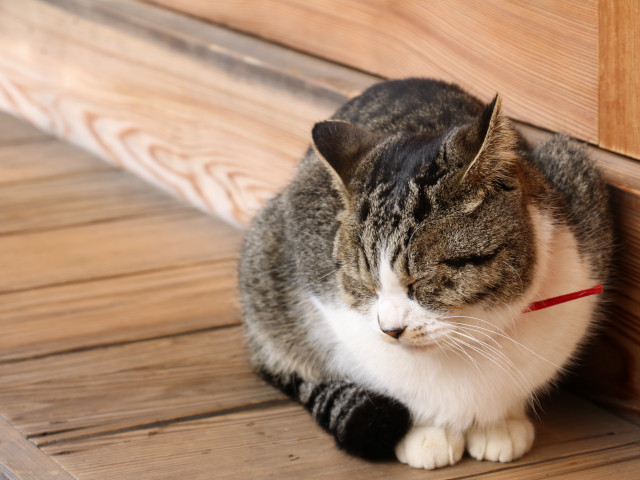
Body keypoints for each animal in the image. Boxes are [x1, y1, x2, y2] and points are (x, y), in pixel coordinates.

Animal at [238, 79, 612, 468]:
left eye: (420, 280)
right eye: (366, 285)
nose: (390, 330)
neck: (469, 339)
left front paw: (497, 424)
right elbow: (400, 379)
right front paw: (429, 433)